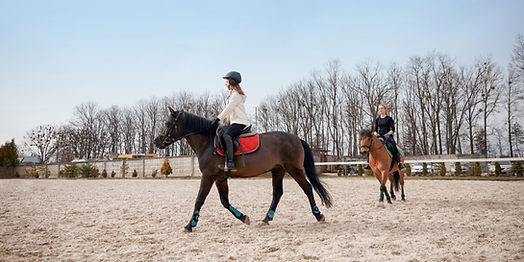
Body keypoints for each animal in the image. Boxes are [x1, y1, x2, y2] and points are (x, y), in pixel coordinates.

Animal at [155, 106, 332, 231]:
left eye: (168, 124)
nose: (157, 141)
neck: (207, 143)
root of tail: (297, 138)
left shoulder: (208, 175)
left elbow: (199, 199)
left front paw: (190, 225)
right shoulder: (220, 178)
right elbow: (225, 201)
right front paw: (243, 217)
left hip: (294, 169)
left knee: (307, 188)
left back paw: (319, 215)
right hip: (278, 170)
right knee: (277, 193)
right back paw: (266, 219)